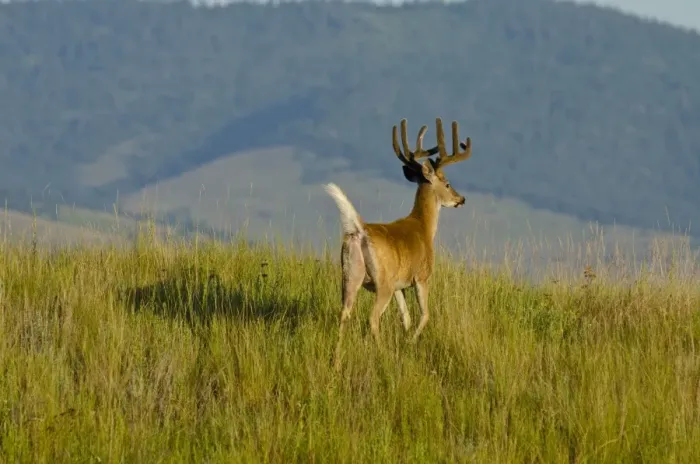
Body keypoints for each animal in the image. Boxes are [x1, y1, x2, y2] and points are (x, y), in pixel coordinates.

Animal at [324, 117, 472, 368]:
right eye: (447, 183)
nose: (461, 199)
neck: (423, 227)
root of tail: (360, 230)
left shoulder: (399, 285)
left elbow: (406, 317)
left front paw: (405, 341)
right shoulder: (421, 277)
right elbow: (424, 315)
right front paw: (410, 343)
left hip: (350, 275)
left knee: (344, 313)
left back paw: (335, 362)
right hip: (381, 282)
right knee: (372, 318)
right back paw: (381, 355)